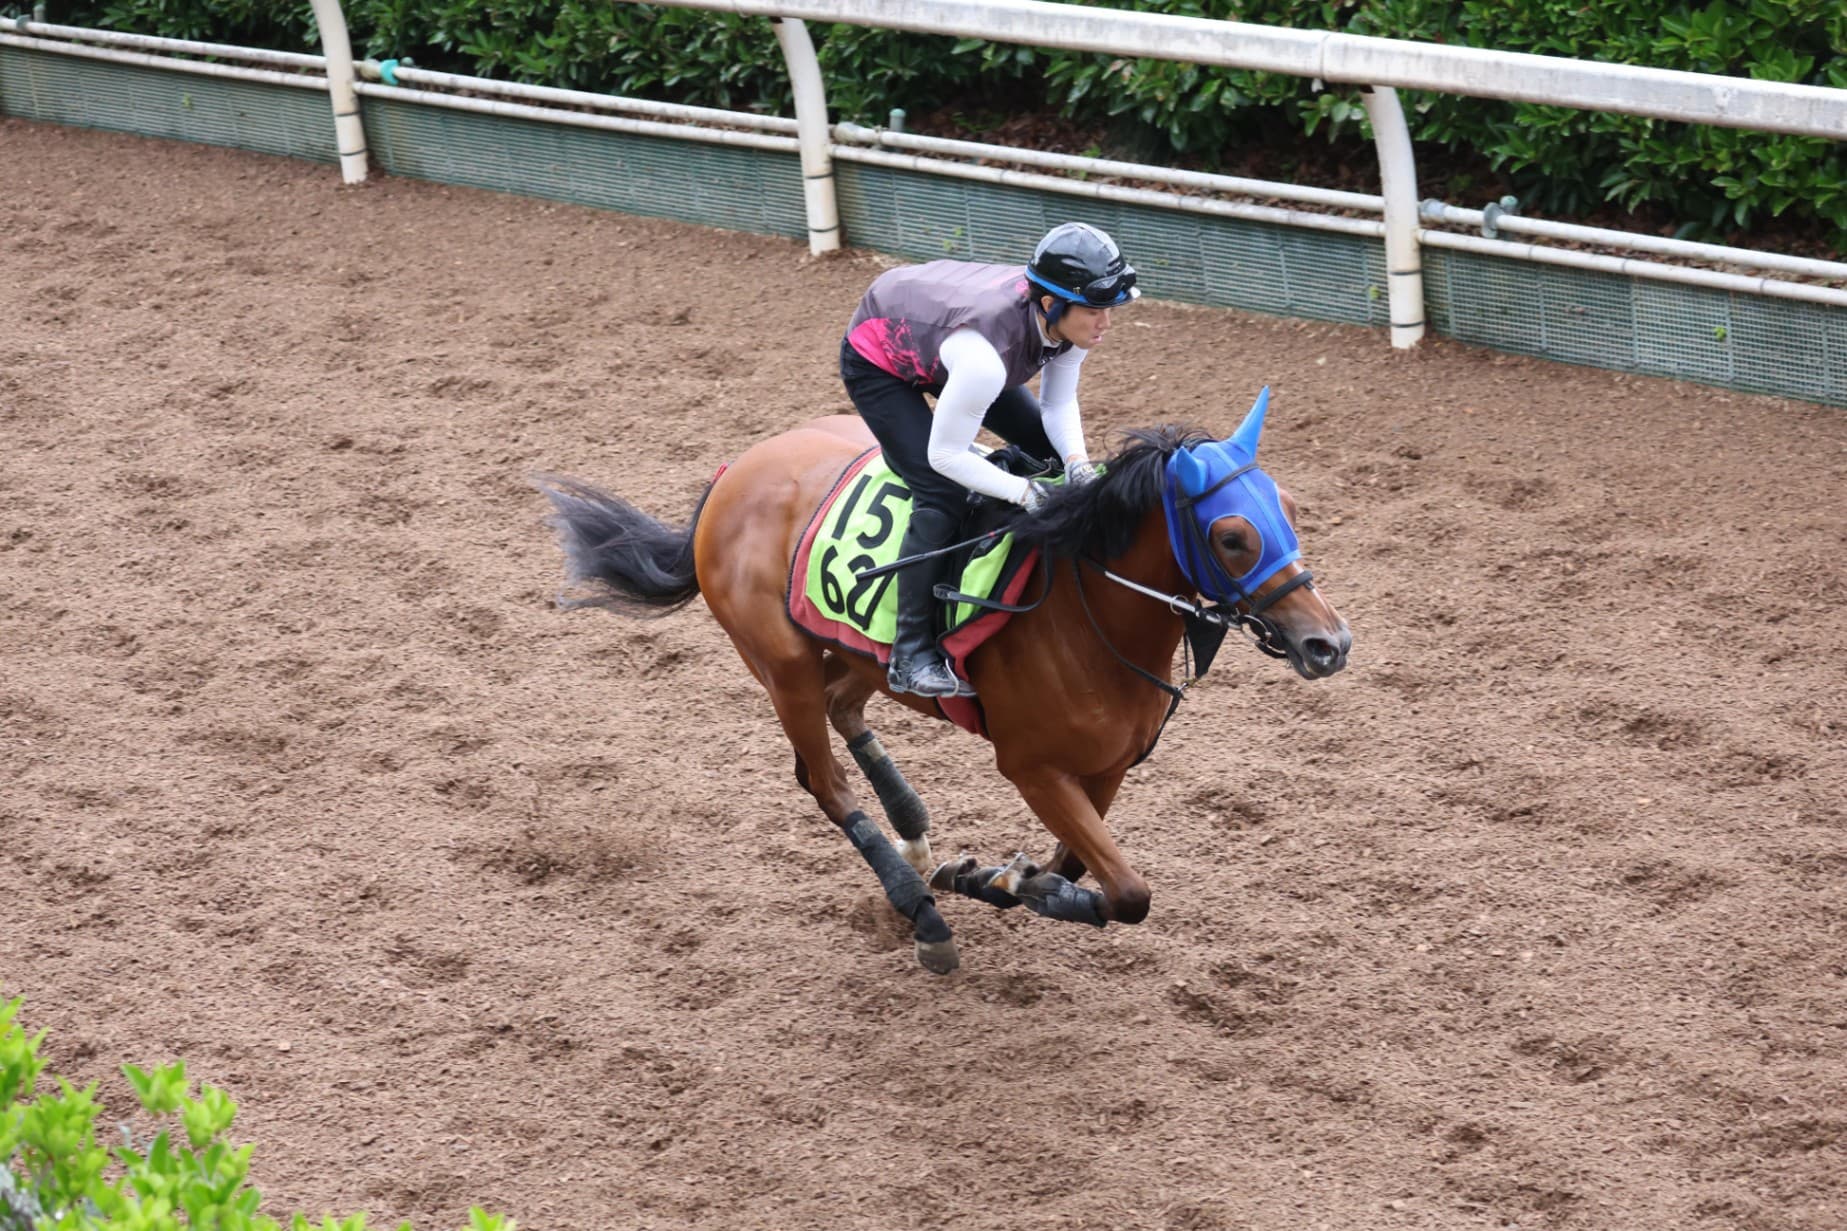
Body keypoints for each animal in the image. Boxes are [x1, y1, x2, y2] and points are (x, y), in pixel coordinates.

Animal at [537, 389, 1350, 974]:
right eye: (1232, 537)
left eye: (1289, 510)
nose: (1328, 643)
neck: (1090, 611)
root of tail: (731, 475)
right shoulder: (1031, 766)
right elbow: (1126, 893)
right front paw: (1004, 882)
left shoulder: (1109, 765)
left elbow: (1079, 864)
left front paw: (991, 876)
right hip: (780, 663)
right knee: (822, 779)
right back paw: (919, 910)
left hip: (858, 653)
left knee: (842, 711)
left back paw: (915, 831)